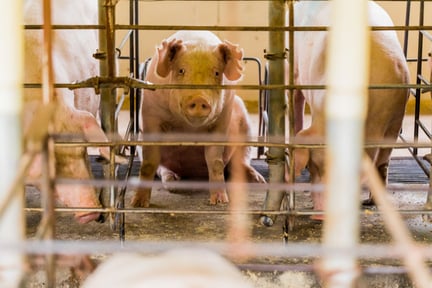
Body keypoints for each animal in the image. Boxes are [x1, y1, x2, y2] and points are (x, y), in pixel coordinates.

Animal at [132, 31, 266, 207]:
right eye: (181, 71)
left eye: (216, 73)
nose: (199, 98)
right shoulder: (150, 116)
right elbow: (150, 161)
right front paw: (138, 204)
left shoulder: (223, 118)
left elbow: (215, 160)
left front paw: (220, 202)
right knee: (162, 169)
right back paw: (173, 184)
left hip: (245, 124)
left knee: (240, 158)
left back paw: (259, 181)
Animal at [286, 1, 410, 217]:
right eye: (312, 166)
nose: (321, 214)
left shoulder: (395, 121)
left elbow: (383, 163)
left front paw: (372, 202)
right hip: (295, 66)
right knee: (296, 99)